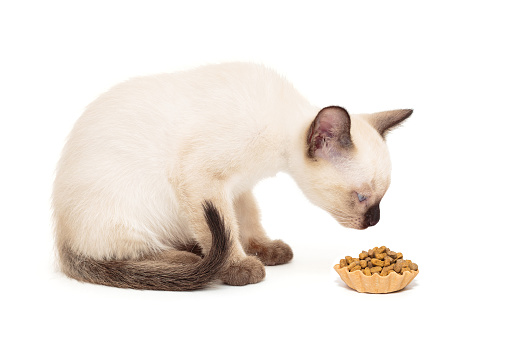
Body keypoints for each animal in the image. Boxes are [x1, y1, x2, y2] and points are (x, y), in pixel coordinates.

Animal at [51, 63, 410, 292]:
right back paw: (187, 259)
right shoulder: (202, 178)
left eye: (381, 199)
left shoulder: (238, 187)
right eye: (362, 197)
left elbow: (244, 222)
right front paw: (239, 266)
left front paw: (264, 249)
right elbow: (224, 226)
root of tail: (62, 241)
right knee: (127, 253)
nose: (374, 221)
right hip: (132, 212)